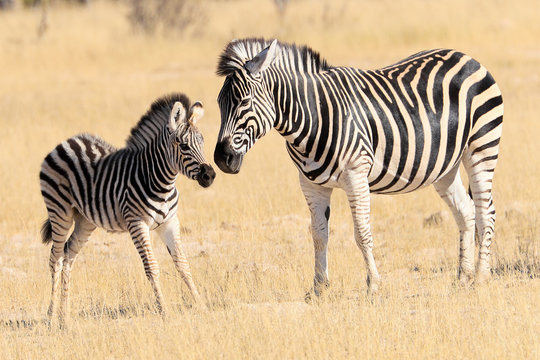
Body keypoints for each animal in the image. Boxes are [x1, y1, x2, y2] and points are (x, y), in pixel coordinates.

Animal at [39, 91, 215, 324]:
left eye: (202, 142)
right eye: (183, 145)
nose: (209, 175)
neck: (161, 181)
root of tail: (67, 141)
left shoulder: (169, 222)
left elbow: (183, 265)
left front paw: (202, 306)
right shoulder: (137, 223)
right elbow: (152, 267)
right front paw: (165, 312)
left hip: (85, 220)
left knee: (68, 256)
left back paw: (64, 317)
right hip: (60, 211)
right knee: (56, 258)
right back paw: (51, 317)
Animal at [213, 38, 504, 298]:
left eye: (244, 102)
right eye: (218, 103)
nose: (221, 159)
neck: (313, 116)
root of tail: (466, 56)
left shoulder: (356, 175)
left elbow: (362, 234)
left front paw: (373, 285)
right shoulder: (310, 184)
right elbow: (318, 235)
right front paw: (319, 288)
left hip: (481, 147)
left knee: (486, 212)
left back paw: (481, 277)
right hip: (445, 166)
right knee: (466, 212)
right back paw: (463, 277)